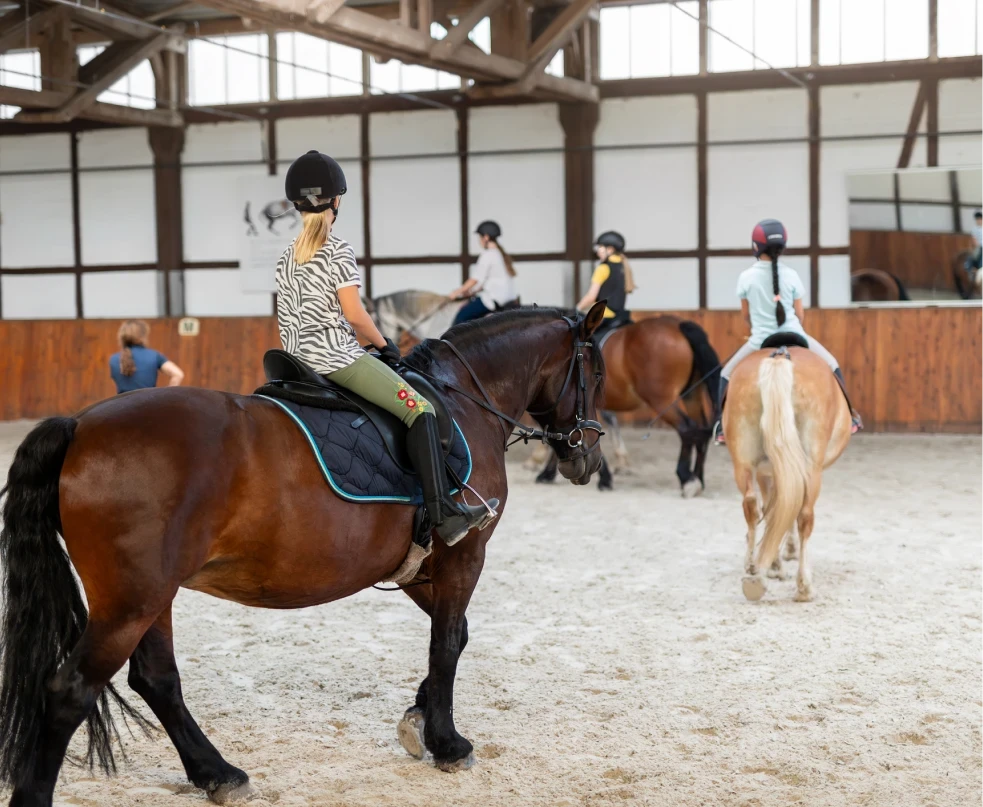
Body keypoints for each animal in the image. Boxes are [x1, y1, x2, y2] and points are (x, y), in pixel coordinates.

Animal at [0, 304, 608, 807]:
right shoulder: (464, 554)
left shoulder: (419, 566)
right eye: (597, 373)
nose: (587, 459)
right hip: (131, 599)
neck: (460, 399)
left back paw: (218, 774)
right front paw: (447, 742)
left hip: (150, 595)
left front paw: (417, 718)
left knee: (156, 679)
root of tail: (81, 424)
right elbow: (447, 642)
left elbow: (453, 636)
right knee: (71, 691)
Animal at [536, 318, 720, 496]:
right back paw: (698, 478)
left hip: (661, 399)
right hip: (692, 393)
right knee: (701, 432)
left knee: (686, 428)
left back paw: (687, 479)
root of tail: (678, 324)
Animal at [724, 344, 852, 604]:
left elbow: (774, 510)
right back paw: (804, 587)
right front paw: (784, 556)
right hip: (811, 466)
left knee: (751, 506)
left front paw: (771, 564)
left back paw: (753, 573)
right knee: (804, 516)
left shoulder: (769, 470)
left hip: (743, 462)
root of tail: (779, 357)